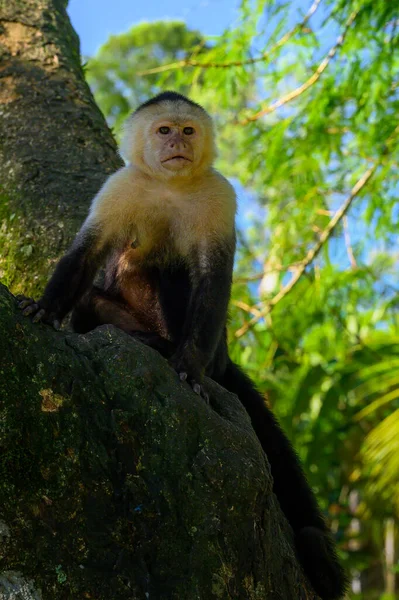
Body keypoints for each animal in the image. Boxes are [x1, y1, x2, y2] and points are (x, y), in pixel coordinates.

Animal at [18, 90, 348, 600]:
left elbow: (211, 278)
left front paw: (188, 368)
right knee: (101, 292)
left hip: (217, 350)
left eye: (188, 131)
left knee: (174, 271)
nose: (177, 144)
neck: (171, 186)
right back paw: (142, 338)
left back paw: (177, 351)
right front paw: (46, 307)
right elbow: (88, 252)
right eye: (164, 131)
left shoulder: (218, 195)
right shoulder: (121, 186)